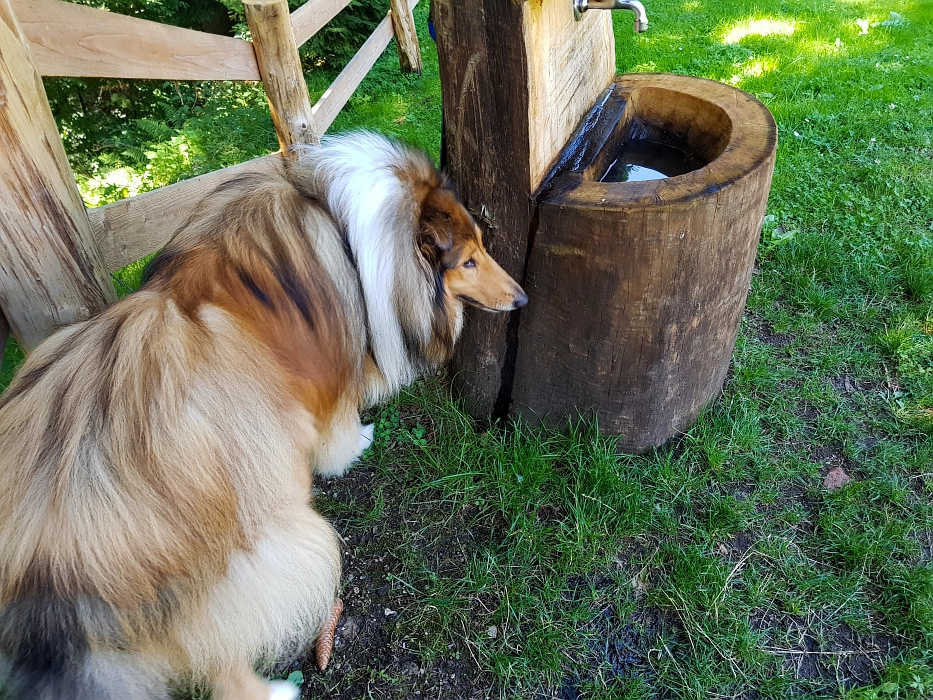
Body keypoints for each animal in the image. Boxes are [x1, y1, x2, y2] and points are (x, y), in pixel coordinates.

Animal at [0, 133, 524, 700]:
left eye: (482, 249)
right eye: (467, 261)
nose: (522, 299)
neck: (346, 232)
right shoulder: (334, 373)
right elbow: (338, 424)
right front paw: (354, 446)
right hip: (248, 557)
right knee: (218, 655)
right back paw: (274, 690)